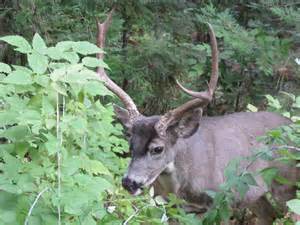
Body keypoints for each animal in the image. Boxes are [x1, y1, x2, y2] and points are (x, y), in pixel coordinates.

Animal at [96, 9, 298, 225]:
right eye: (130, 143)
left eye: (158, 148)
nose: (129, 182)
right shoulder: (172, 208)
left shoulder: (222, 202)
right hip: (256, 193)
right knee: (270, 215)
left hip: (287, 182)